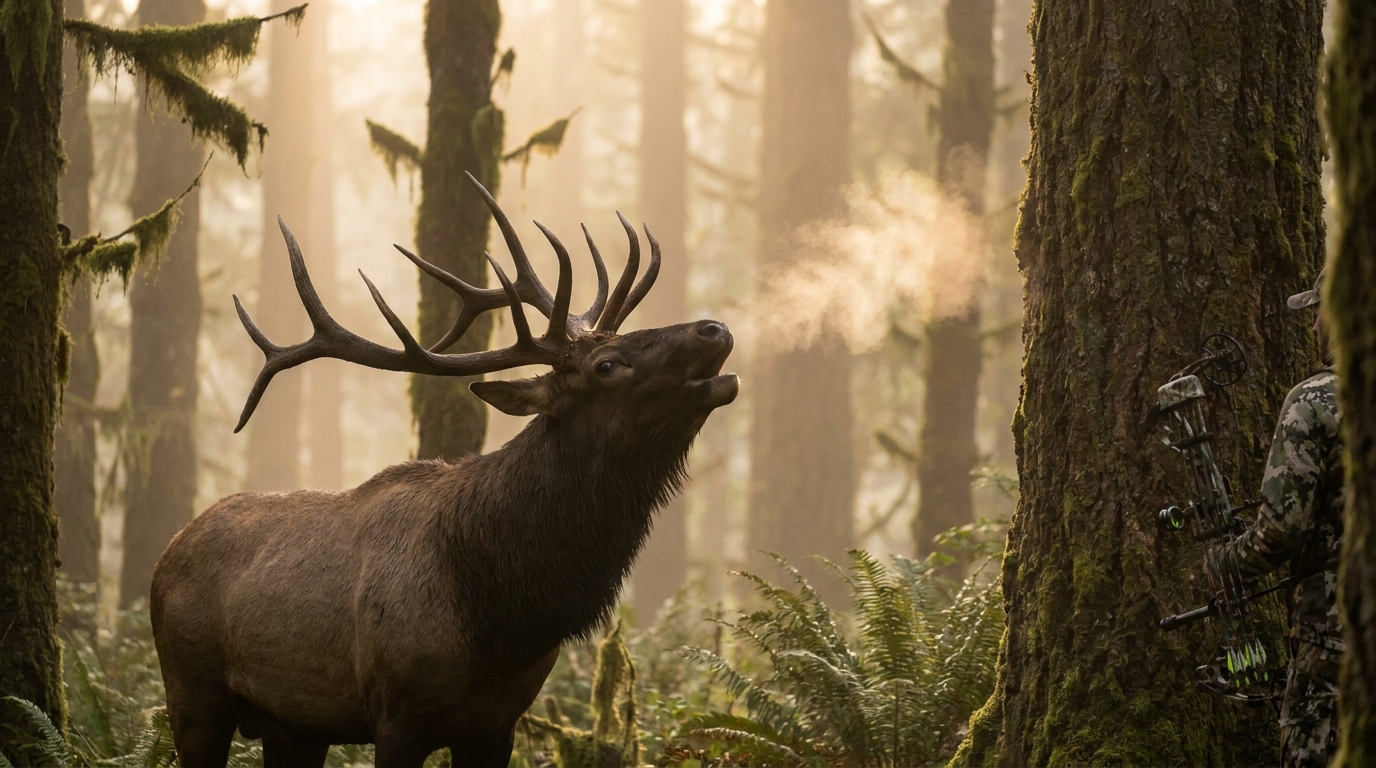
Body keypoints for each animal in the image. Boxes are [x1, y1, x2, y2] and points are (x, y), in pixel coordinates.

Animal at [149, 174, 738, 768]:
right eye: (607, 365)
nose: (714, 328)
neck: (506, 617)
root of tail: (167, 552)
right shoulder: (397, 711)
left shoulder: (499, 722)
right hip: (191, 689)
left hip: (294, 724)